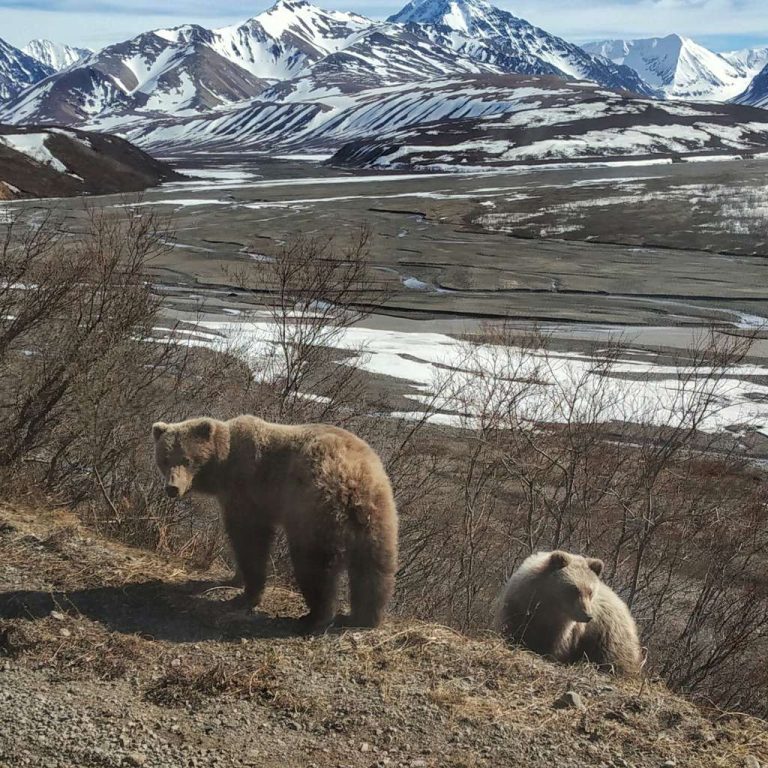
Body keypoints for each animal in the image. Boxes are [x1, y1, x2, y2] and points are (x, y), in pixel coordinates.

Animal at [152, 415, 398, 632]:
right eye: (165, 459)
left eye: (187, 459)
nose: (172, 488)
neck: (222, 468)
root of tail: (353, 477)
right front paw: (234, 578)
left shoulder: (249, 490)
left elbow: (250, 540)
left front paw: (247, 594)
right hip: (379, 516)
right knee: (374, 569)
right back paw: (364, 617)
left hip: (313, 508)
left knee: (314, 565)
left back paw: (314, 617)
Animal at [496, 550, 642, 676]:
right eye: (575, 589)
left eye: (590, 592)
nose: (588, 616)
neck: (548, 608)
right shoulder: (519, 606)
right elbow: (512, 627)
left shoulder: (564, 629)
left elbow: (556, 647)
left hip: (608, 634)